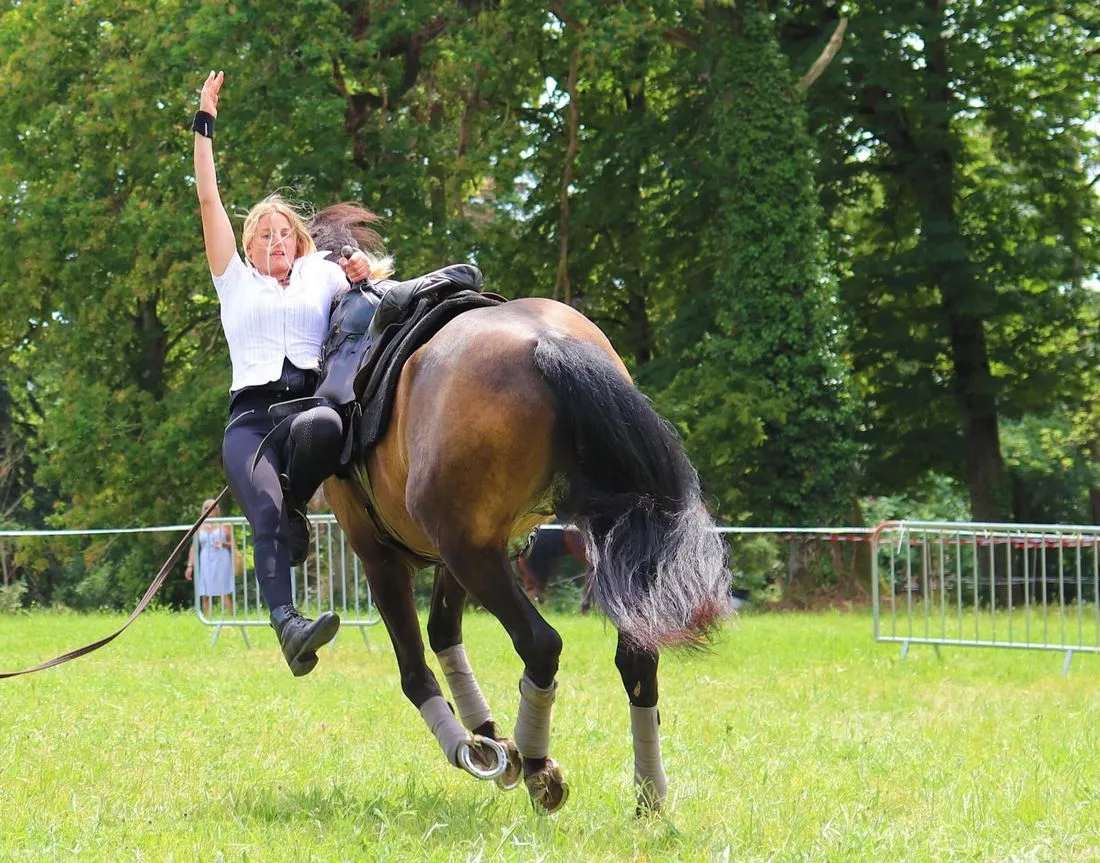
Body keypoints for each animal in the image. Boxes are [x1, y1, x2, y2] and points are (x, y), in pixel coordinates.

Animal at [310, 204, 731, 814]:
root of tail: (545, 342)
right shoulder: (461, 554)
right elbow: (444, 633)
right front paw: (488, 739)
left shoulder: (385, 556)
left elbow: (417, 668)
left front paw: (479, 747)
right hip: (576, 540)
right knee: (637, 655)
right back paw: (647, 795)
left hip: (473, 555)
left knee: (540, 644)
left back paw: (538, 766)